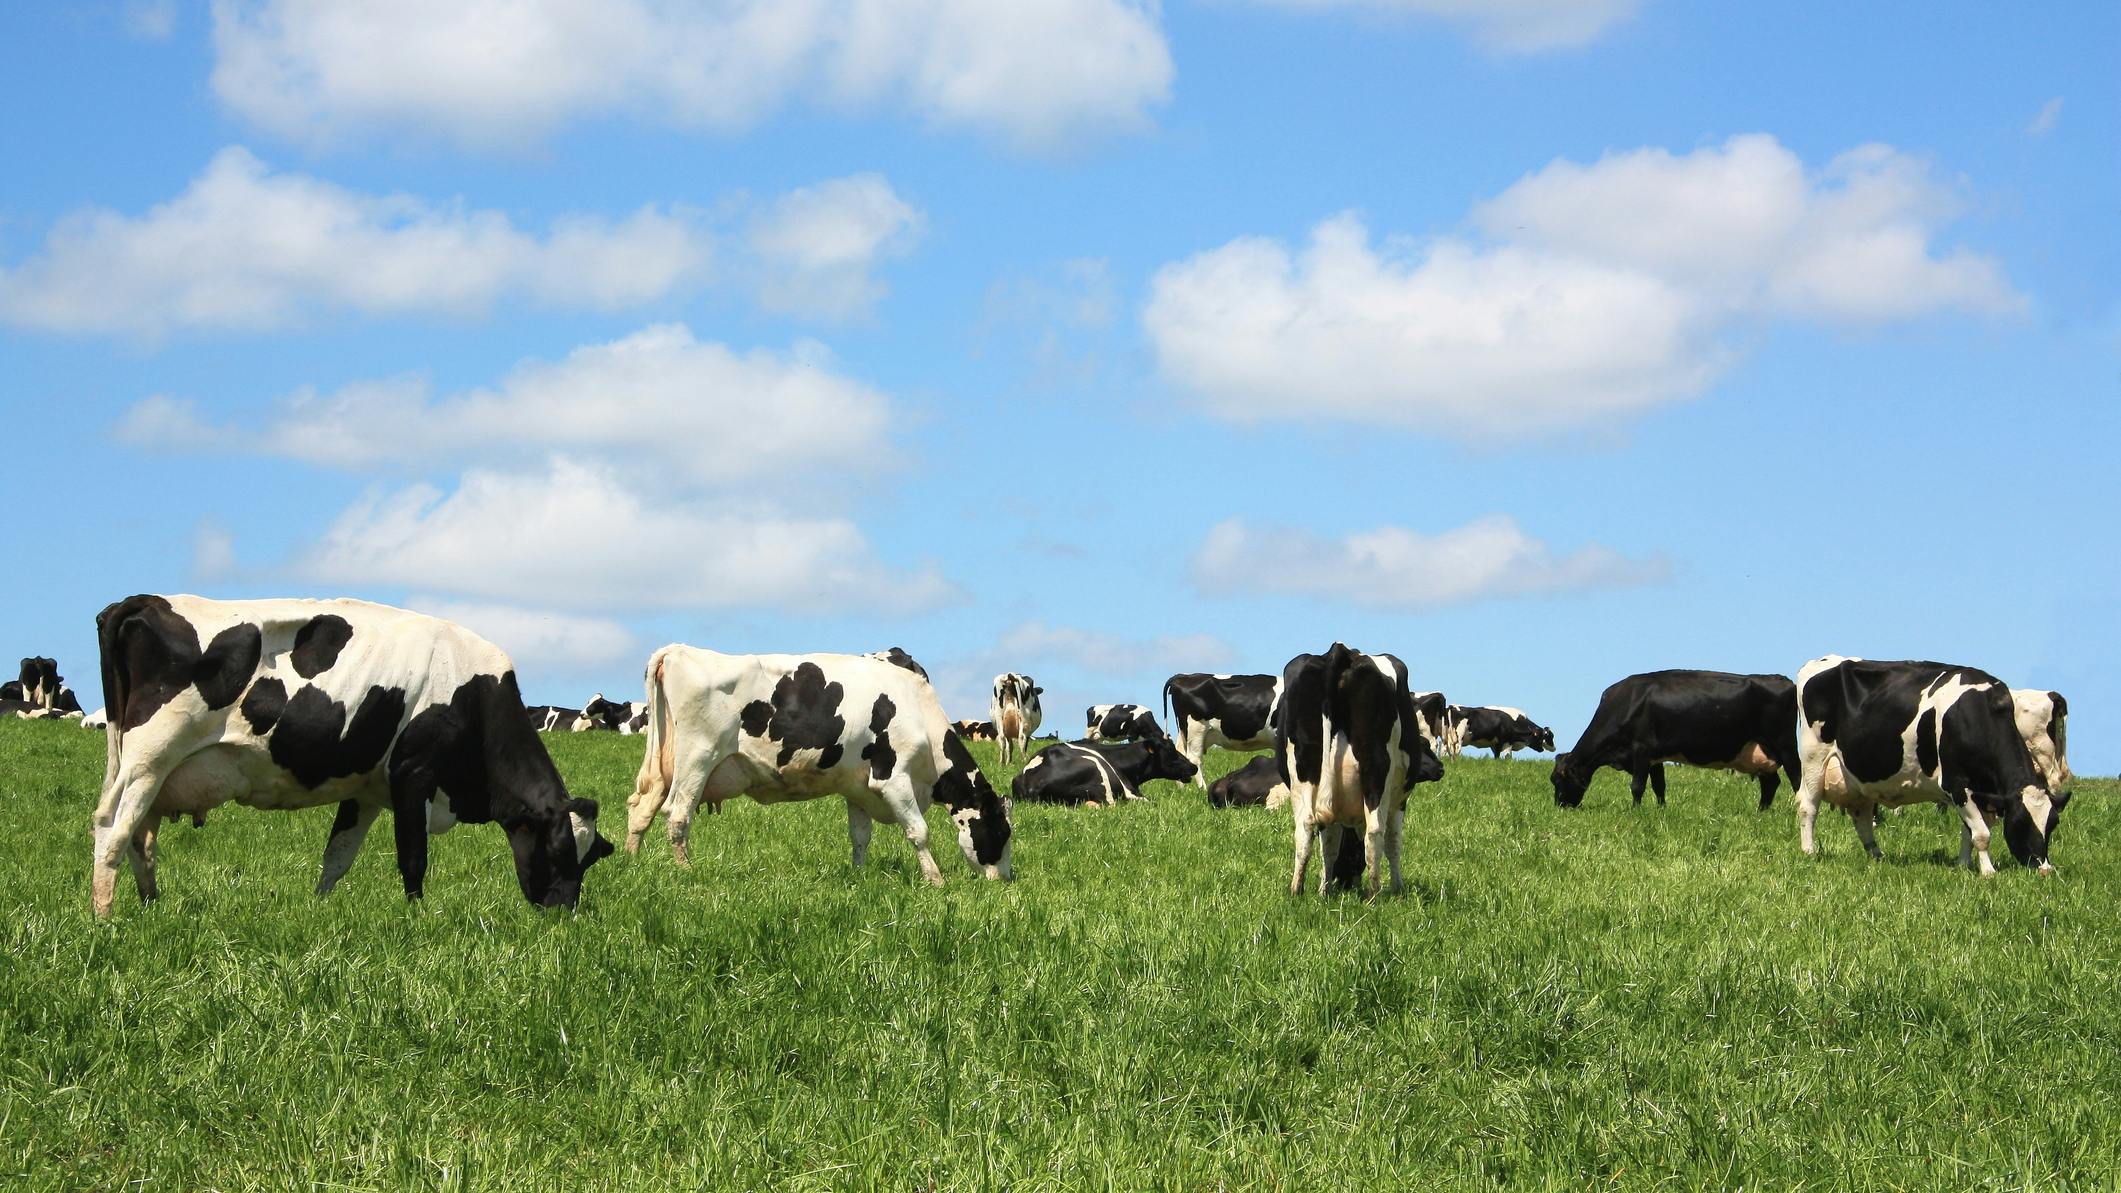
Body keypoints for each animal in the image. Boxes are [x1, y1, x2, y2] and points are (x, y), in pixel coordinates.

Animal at [88, 595, 613, 919]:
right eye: (560, 850)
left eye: (590, 859)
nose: (563, 912)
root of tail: (144, 600)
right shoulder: (413, 775)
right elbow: (413, 858)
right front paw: (417, 919)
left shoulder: (367, 791)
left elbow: (337, 858)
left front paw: (318, 909)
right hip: (150, 756)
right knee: (112, 828)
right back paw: (105, 917)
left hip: (150, 771)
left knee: (141, 837)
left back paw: (151, 906)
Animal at [627, 647, 1012, 882]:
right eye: (1002, 833)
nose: (1006, 879)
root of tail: (679, 650)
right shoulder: (892, 778)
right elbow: (919, 831)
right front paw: (936, 880)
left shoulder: (858, 787)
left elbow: (860, 836)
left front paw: (859, 876)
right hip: (697, 758)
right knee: (677, 815)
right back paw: (686, 871)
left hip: (664, 766)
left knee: (641, 810)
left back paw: (631, 862)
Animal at [1277, 645, 1445, 897]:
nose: (1345, 882)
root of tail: (1341, 650)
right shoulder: (1399, 801)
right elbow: (1393, 843)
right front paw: (1398, 889)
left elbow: (1329, 846)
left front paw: (1324, 890)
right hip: (1377, 770)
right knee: (1375, 831)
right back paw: (1374, 894)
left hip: (1303, 769)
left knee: (1305, 826)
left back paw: (1296, 889)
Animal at [1550, 671, 1799, 810]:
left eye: (1559, 780)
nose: (1560, 807)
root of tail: (1784, 680)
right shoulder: (1655, 757)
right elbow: (1659, 786)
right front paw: (1661, 810)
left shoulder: (1641, 750)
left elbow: (1637, 786)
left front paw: (1634, 811)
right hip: (1761, 752)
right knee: (1771, 783)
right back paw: (1761, 812)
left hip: (1784, 745)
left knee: (1796, 777)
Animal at [1793, 655, 2067, 875]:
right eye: (2020, 823)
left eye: (2052, 824)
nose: (2044, 869)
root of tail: (1822, 661)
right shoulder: (1956, 784)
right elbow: (1981, 834)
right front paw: (1988, 872)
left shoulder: (1977, 791)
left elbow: (1969, 832)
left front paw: (1964, 865)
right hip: (1814, 759)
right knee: (1808, 806)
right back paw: (1809, 851)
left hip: (1860, 776)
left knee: (1862, 816)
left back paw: (1877, 855)